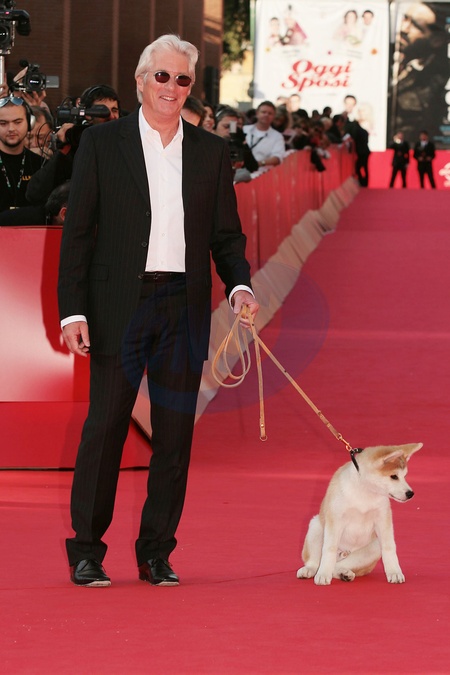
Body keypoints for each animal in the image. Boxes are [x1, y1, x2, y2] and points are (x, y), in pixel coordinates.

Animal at [296, 443, 422, 585]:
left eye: (404, 476)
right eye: (394, 476)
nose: (410, 493)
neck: (365, 492)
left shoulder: (383, 519)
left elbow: (389, 548)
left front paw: (394, 572)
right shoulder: (335, 519)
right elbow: (329, 549)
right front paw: (323, 574)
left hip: (373, 547)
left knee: (338, 566)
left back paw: (344, 573)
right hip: (316, 526)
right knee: (315, 561)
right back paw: (310, 570)